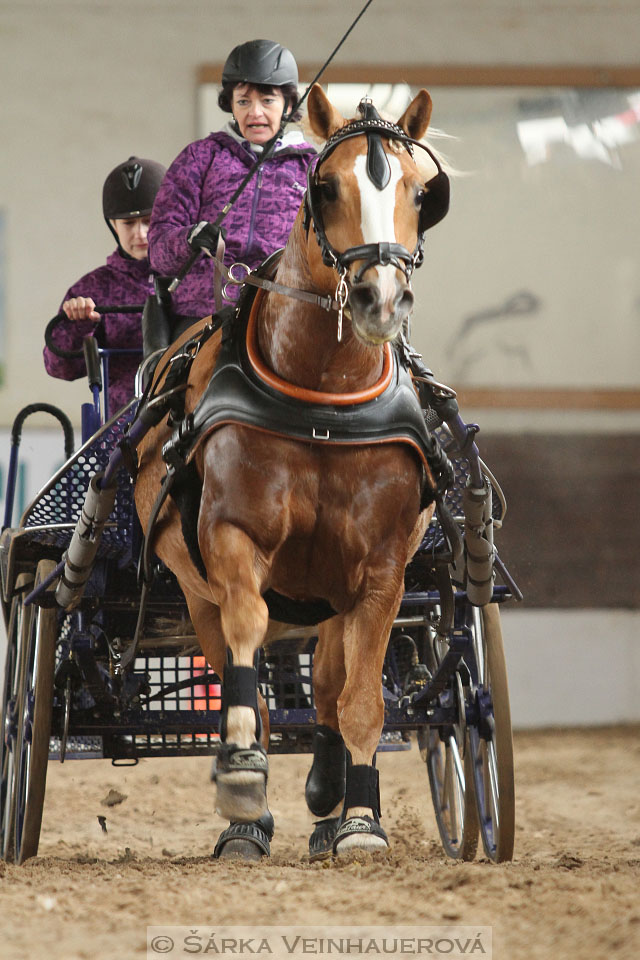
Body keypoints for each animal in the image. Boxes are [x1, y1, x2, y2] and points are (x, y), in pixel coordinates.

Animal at [135, 84, 450, 864]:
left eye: (422, 192)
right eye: (326, 184)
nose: (378, 300)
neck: (322, 404)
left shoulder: (383, 571)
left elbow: (362, 700)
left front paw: (361, 821)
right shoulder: (230, 537)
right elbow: (249, 645)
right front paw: (244, 772)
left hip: (333, 594)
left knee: (334, 683)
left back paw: (330, 791)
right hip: (195, 590)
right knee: (243, 666)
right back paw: (249, 821)